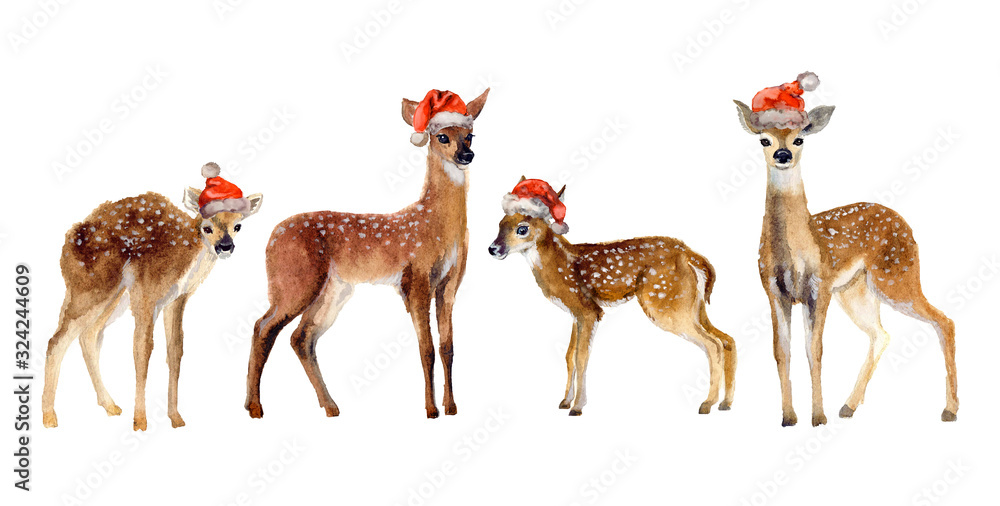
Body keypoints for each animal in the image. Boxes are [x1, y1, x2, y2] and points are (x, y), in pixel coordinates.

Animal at [42, 162, 263, 430]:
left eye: (238, 226)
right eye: (207, 227)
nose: (225, 246)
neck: (184, 259)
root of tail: (65, 247)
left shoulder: (177, 298)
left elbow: (175, 349)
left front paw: (176, 418)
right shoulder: (146, 293)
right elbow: (142, 348)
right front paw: (140, 421)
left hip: (114, 297)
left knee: (88, 335)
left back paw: (110, 406)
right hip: (91, 288)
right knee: (57, 340)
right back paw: (49, 417)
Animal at [245, 88, 489, 419]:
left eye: (470, 136)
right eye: (442, 137)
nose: (466, 156)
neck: (436, 226)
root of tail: (271, 236)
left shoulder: (450, 284)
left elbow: (447, 347)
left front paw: (451, 407)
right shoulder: (416, 279)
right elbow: (425, 348)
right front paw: (430, 410)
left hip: (333, 290)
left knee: (301, 337)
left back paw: (330, 406)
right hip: (294, 281)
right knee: (263, 327)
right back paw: (255, 407)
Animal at [488, 178, 736, 416]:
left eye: (522, 229)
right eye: (500, 224)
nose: (493, 249)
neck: (559, 265)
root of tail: (692, 256)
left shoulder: (589, 309)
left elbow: (581, 356)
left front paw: (577, 407)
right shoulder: (576, 313)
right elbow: (569, 355)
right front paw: (565, 401)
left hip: (666, 303)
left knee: (713, 344)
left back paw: (707, 404)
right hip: (694, 306)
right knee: (727, 339)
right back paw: (725, 403)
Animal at [733, 71, 957, 426]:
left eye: (800, 139)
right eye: (764, 140)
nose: (783, 155)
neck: (795, 252)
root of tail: (903, 223)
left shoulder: (819, 285)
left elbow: (815, 349)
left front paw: (818, 416)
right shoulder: (773, 289)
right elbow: (782, 351)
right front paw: (789, 417)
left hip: (897, 275)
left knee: (943, 321)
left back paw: (949, 410)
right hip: (856, 290)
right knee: (881, 333)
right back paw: (848, 406)